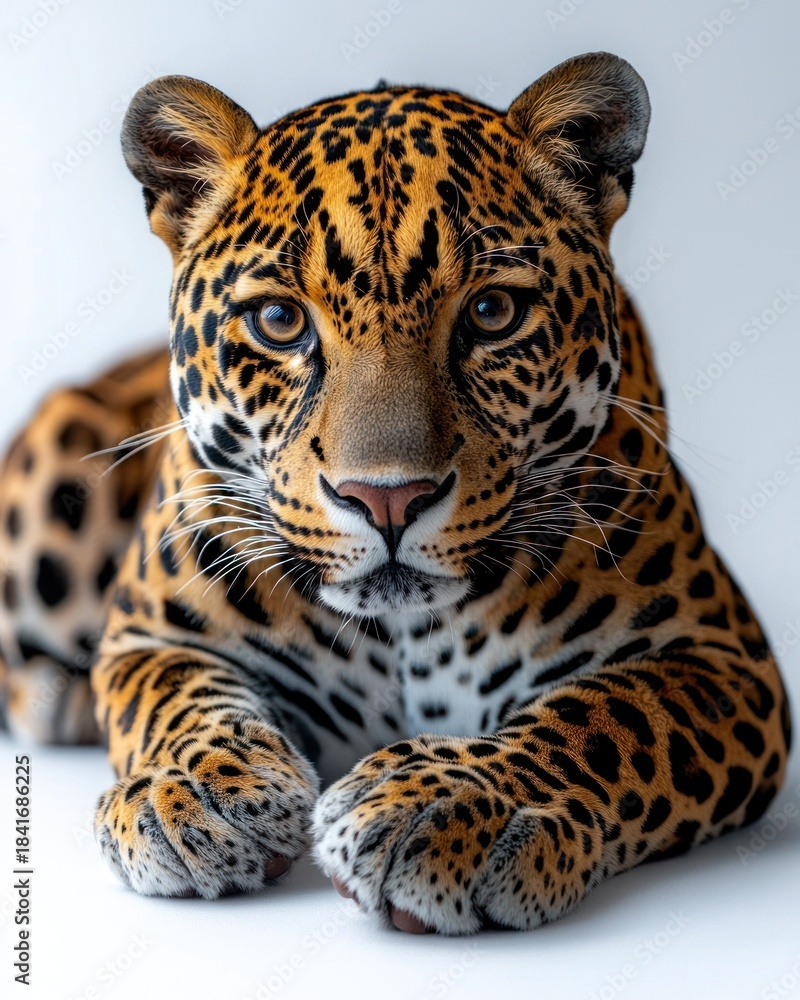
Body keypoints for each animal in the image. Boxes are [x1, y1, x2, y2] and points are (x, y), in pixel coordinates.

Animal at [0, 52, 790, 935]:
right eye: (279, 322)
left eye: (493, 311)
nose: (387, 500)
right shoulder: (150, 635)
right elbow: (170, 700)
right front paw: (194, 790)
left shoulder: (721, 658)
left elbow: (606, 718)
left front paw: (451, 801)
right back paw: (60, 698)